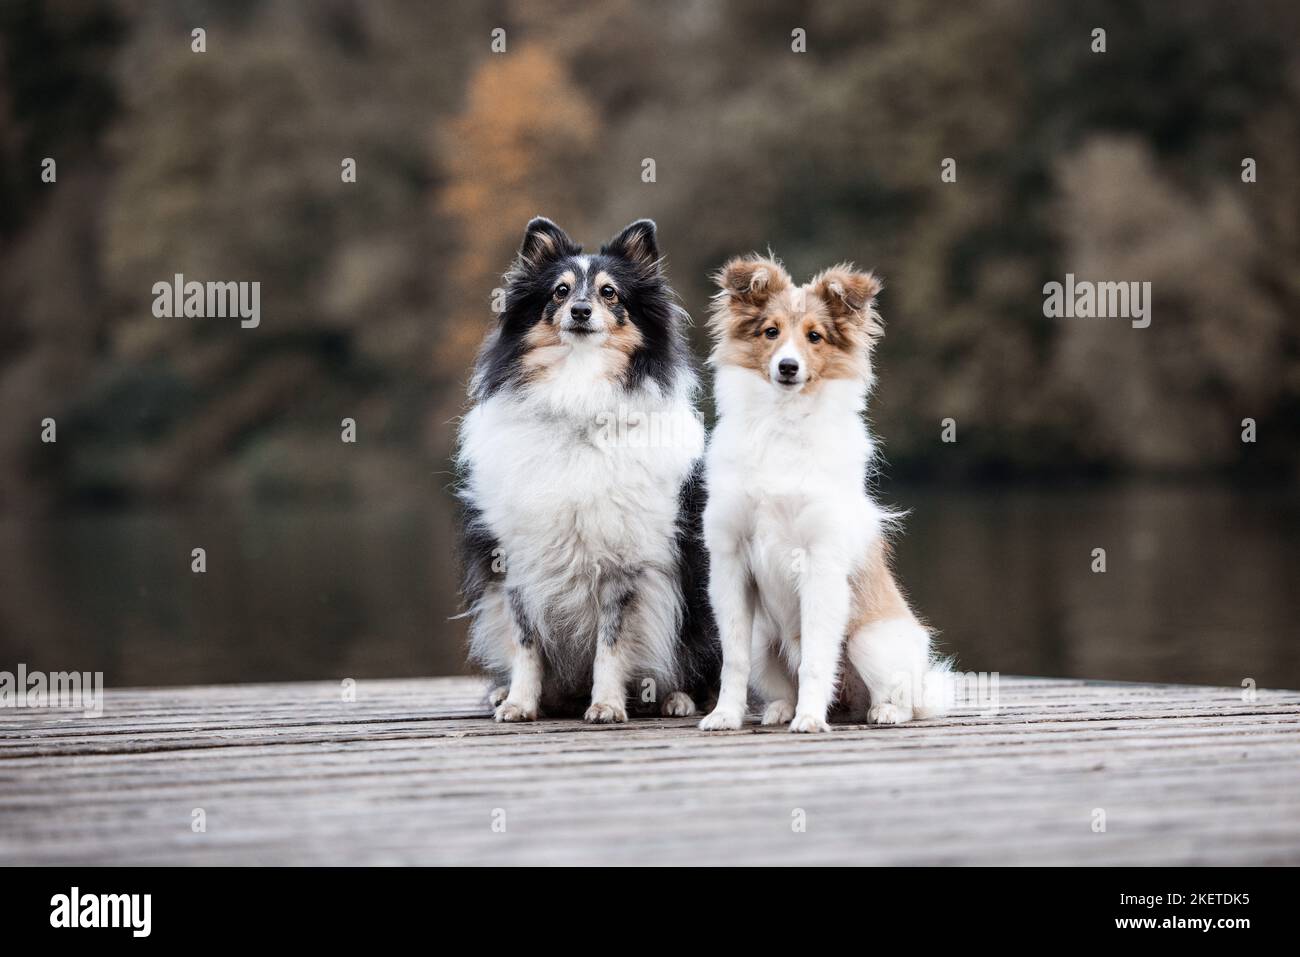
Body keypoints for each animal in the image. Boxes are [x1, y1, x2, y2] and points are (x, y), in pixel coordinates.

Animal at [457, 217, 722, 722]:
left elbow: (611, 644)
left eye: (610, 293)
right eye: (559, 291)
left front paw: (606, 705)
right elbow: (525, 642)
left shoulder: (624, 565)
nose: (580, 311)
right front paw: (519, 702)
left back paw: (676, 699)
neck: (577, 395)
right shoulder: (517, 559)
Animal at [696, 254, 951, 733]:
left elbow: (817, 657)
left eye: (815, 336)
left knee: (903, 697)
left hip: (872, 639)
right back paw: (781, 709)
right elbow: (733, 660)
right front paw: (725, 715)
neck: (782, 423)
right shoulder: (731, 561)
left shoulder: (821, 562)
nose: (787, 367)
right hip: (764, 639)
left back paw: (881, 711)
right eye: (770, 331)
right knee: (779, 679)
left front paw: (810, 719)